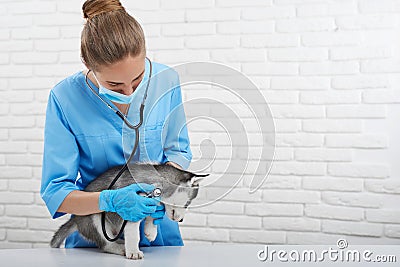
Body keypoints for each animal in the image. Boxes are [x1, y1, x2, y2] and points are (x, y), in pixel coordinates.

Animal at [49, 163, 206, 260]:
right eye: (187, 203)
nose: (182, 220)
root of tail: (75, 219)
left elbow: (151, 215)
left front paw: (150, 231)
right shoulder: (133, 209)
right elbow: (133, 235)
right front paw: (134, 252)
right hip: (94, 218)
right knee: (106, 244)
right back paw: (120, 248)